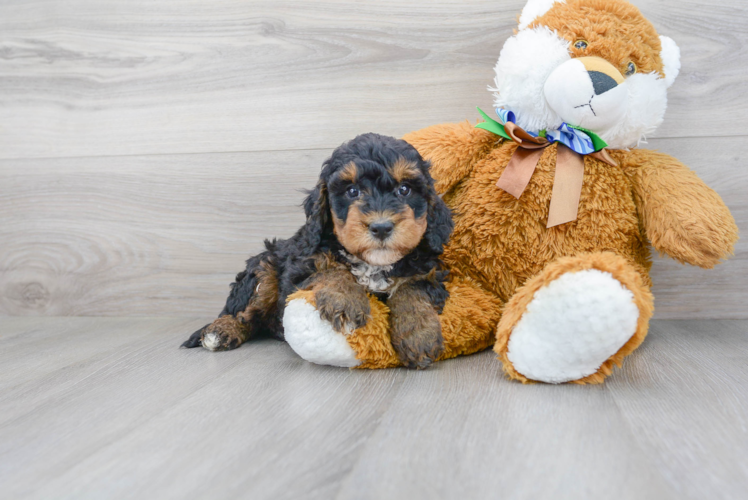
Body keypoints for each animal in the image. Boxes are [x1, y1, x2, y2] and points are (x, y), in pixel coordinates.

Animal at [183, 133, 450, 368]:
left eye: (404, 189)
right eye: (352, 191)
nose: (381, 227)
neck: (372, 263)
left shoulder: (429, 270)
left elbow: (412, 288)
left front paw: (418, 333)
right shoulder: (302, 265)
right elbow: (331, 270)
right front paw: (345, 300)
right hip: (264, 266)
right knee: (242, 311)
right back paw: (221, 331)